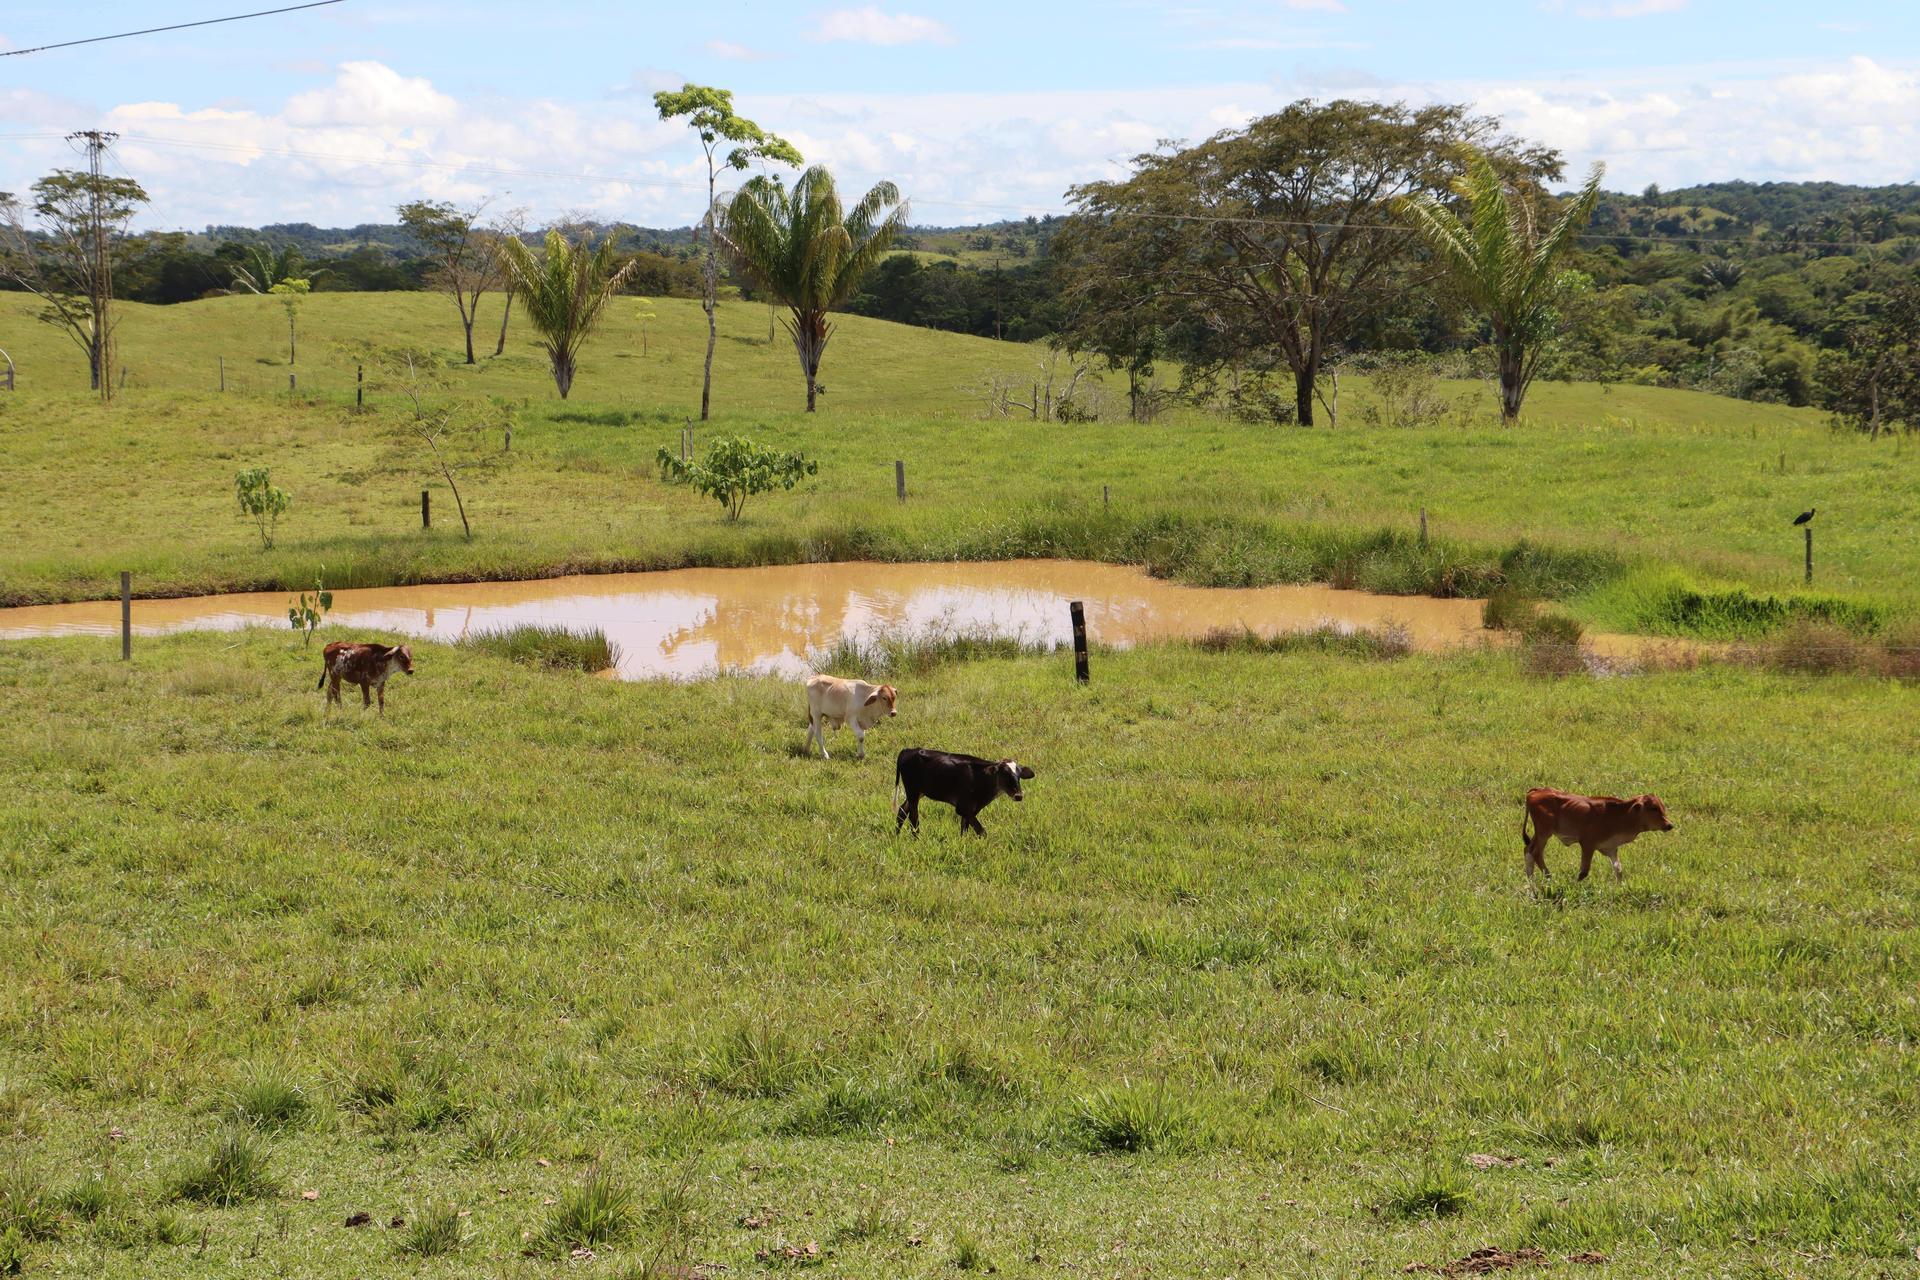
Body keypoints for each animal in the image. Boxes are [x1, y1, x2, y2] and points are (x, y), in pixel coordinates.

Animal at [894, 744, 1036, 836]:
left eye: (1019, 775)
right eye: (1004, 774)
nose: (1018, 795)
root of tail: (908, 750)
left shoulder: (973, 808)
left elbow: (964, 829)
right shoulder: (962, 807)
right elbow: (981, 831)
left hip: (918, 792)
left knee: (902, 811)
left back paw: (897, 836)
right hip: (912, 790)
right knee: (913, 817)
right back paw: (916, 838)